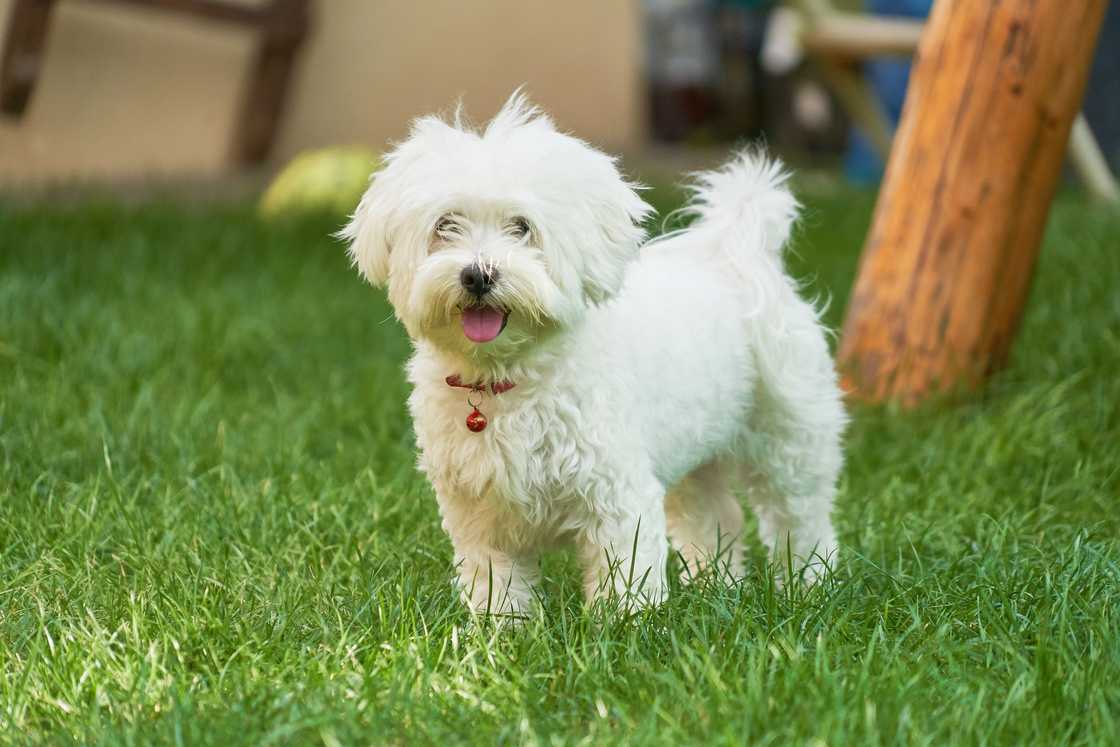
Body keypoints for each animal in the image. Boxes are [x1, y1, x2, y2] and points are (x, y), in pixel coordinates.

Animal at [342, 95, 846, 618]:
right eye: (445, 225)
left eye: (522, 227)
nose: (478, 274)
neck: (511, 376)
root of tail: (735, 251)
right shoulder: (479, 512)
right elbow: (496, 580)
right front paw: (501, 627)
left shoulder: (617, 494)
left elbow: (625, 570)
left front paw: (626, 624)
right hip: (696, 448)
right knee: (714, 515)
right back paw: (716, 585)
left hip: (790, 435)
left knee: (800, 516)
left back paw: (810, 585)